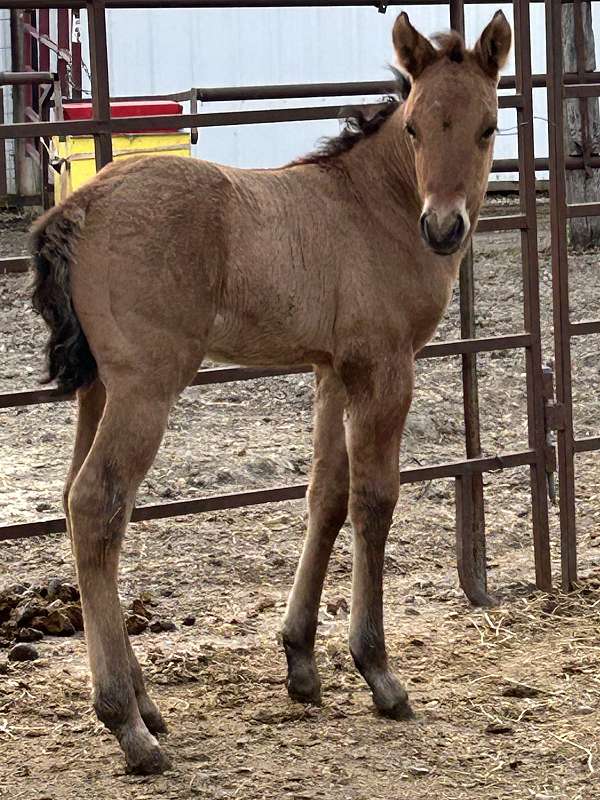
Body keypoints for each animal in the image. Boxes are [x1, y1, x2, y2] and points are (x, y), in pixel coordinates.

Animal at [30, 11, 511, 774]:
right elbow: (375, 501)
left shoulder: (333, 370)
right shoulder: (385, 369)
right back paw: (126, 724)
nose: (443, 228)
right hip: (145, 385)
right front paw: (378, 672)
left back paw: (145, 702)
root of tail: (79, 204)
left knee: (83, 504)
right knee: (97, 502)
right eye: (413, 128)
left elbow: (327, 495)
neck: (370, 207)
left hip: (99, 389)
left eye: (488, 126)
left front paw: (302, 664)